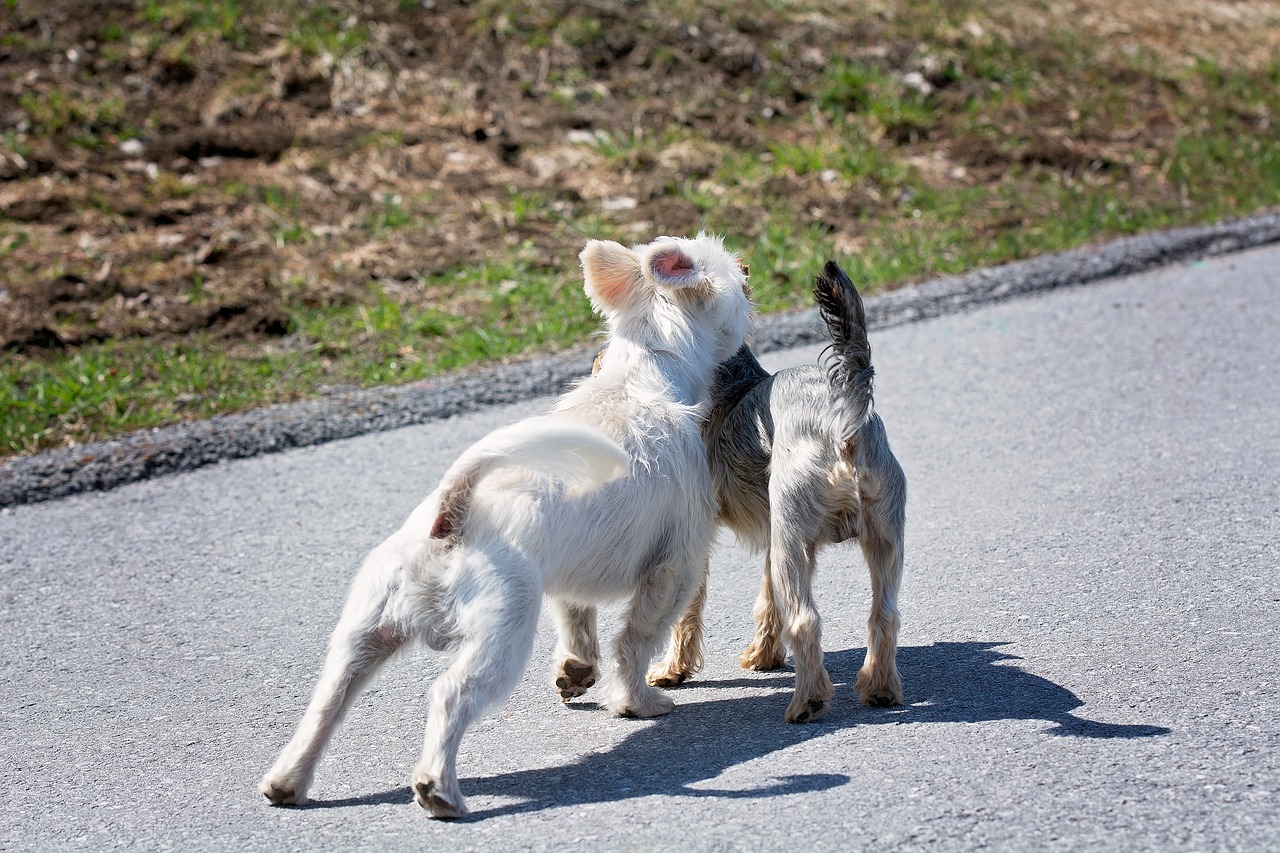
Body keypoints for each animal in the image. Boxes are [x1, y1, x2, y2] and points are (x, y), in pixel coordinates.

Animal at [262, 233, 747, 819]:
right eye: (742, 278)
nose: (750, 270)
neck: (643, 375)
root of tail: (452, 516)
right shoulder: (674, 568)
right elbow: (636, 641)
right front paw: (637, 703)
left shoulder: (571, 577)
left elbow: (578, 623)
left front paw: (576, 671)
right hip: (501, 637)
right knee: (450, 695)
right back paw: (438, 788)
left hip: (364, 633)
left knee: (327, 702)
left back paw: (288, 781)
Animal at [640, 258, 911, 717]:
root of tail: (843, 423)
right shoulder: (773, 531)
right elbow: (769, 598)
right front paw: (763, 656)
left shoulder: (702, 535)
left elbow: (688, 608)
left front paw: (673, 670)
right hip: (881, 533)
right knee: (884, 614)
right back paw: (879, 689)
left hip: (795, 535)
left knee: (806, 620)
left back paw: (808, 702)